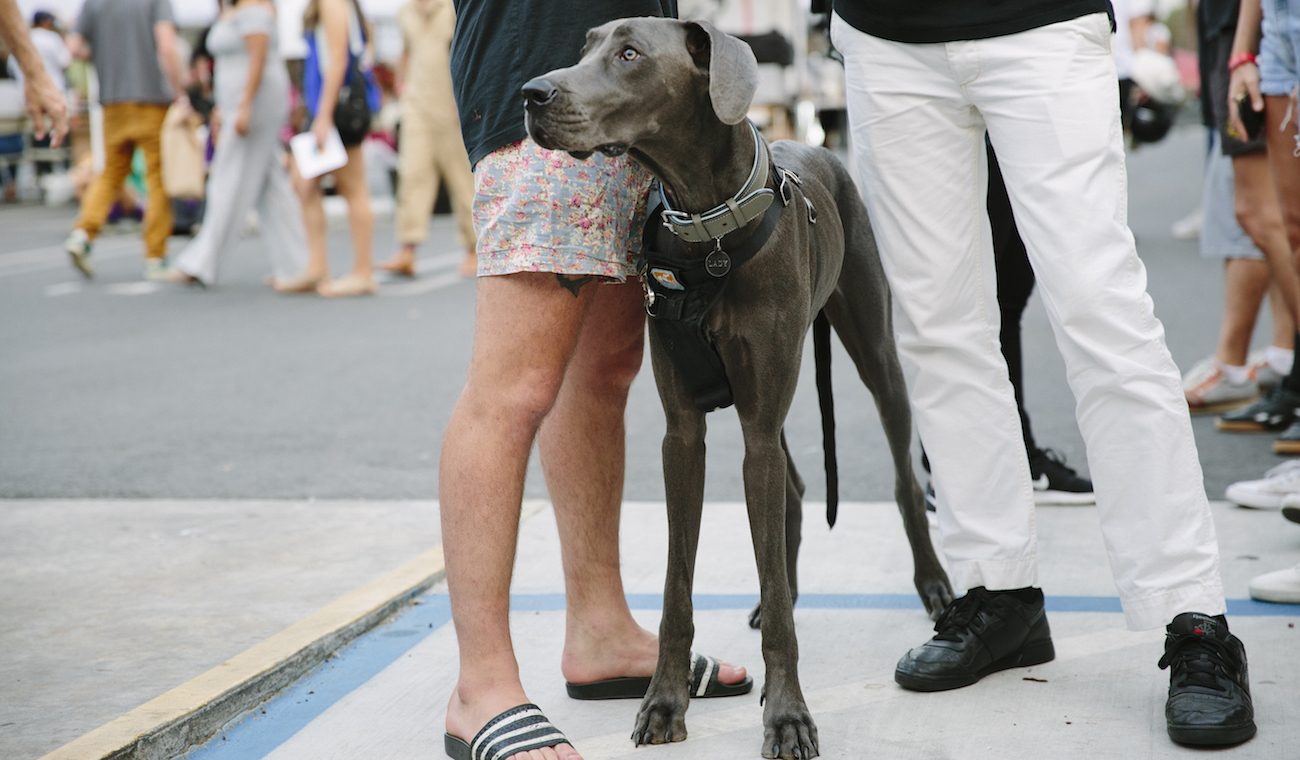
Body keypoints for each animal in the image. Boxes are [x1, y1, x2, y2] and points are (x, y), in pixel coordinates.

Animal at [520, 17, 956, 758]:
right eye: (585, 46)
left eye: (629, 53)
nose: (532, 93)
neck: (707, 225)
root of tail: (822, 144)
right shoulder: (682, 436)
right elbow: (679, 586)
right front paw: (664, 702)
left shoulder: (758, 410)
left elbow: (776, 598)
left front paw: (787, 717)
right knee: (793, 491)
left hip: (875, 354)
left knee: (900, 477)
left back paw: (934, 584)